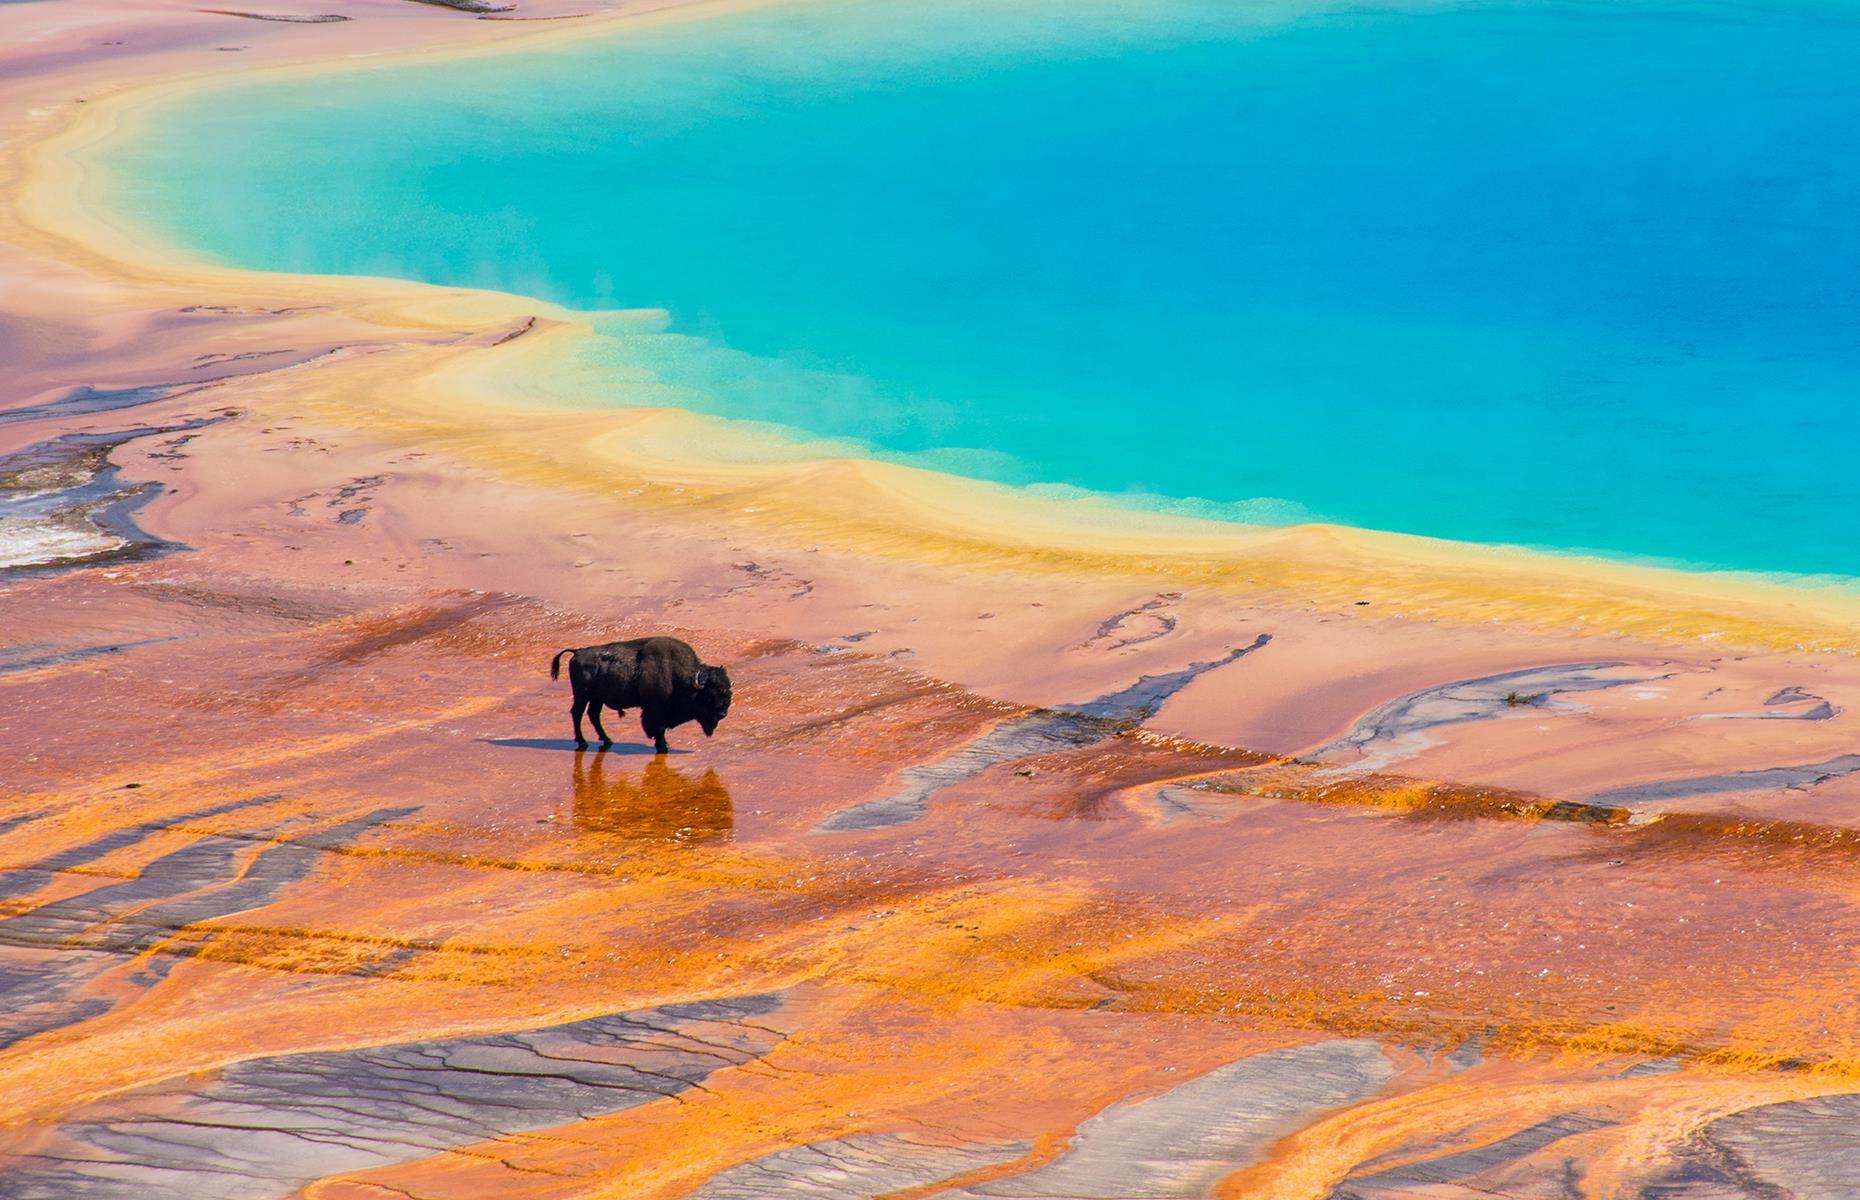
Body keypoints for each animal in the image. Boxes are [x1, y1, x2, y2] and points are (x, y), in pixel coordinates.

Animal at [546, 636, 729, 747]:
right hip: (582, 695)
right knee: (577, 713)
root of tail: (578, 652)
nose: (722, 713)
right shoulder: (654, 710)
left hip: (596, 698)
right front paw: (663, 745)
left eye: (728, 692)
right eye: (709, 695)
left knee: (593, 715)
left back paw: (607, 740)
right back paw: (582, 741)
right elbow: (658, 728)